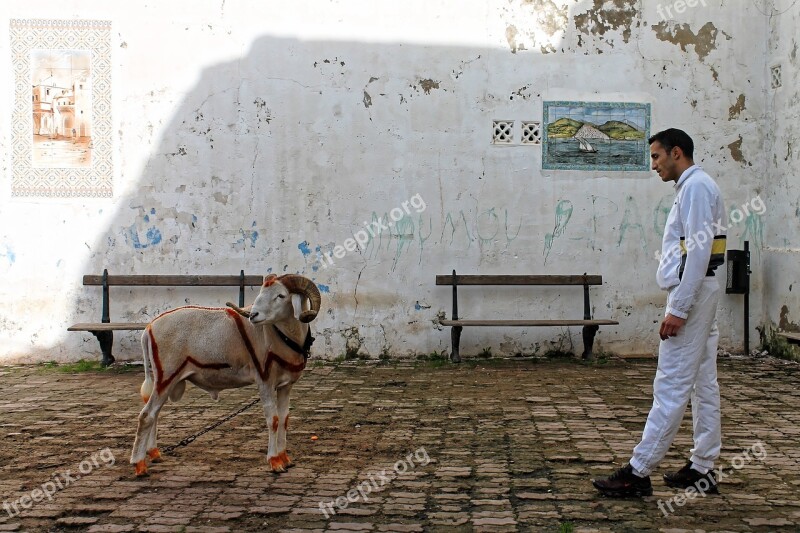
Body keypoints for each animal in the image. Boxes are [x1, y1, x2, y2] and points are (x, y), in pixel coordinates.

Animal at [130, 274, 320, 474]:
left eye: (281, 295)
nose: (253, 315)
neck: (280, 335)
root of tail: (149, 327)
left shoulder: (285, 386)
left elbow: (284, 419)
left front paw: (285, 459)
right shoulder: (265, 382)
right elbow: (273, 420)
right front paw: (275, 462)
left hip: (164, 381)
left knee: (154, 414)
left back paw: (154, 453)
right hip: (166, 377)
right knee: (146, 416)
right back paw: (139, 464)